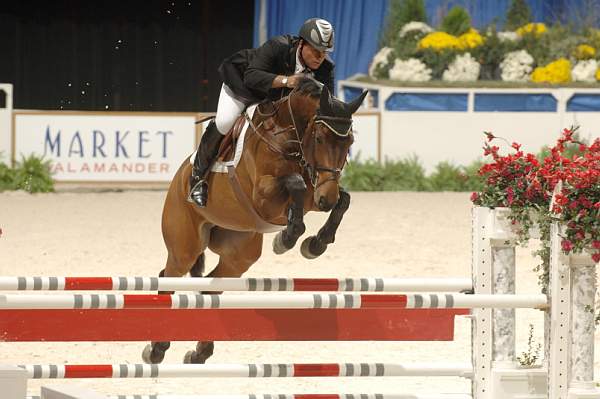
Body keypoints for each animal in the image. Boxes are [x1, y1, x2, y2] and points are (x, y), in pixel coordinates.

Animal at [143, 77, 368, 366]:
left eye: (349, 141)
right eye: (319, 138)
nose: (325, 200)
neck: (288, 135)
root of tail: (179, 178)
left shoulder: (313, 191)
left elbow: (343, 199)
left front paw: (315, 244)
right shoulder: (264, 197)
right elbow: (294, 184)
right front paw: (286, 239)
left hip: (239, 255)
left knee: (211, 288)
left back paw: (199, 352)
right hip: (185, 247)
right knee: (168, 277)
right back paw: (157, 348)